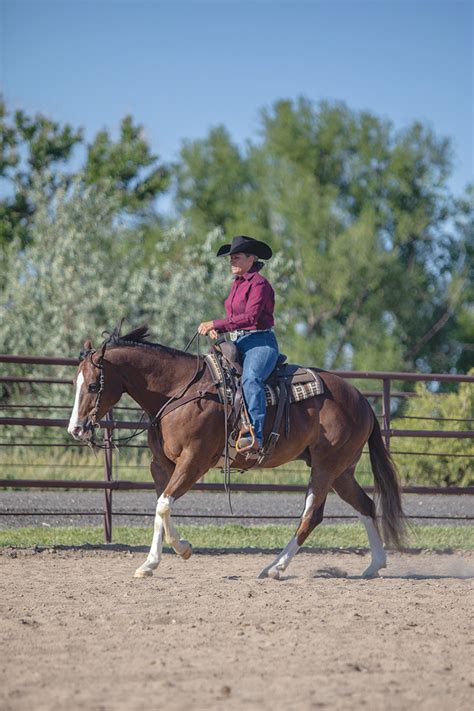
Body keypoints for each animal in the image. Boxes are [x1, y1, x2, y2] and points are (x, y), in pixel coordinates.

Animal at [68, 326, 406, 580]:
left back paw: (275, 568)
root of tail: (362, 400)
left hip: (326, 466)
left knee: (312, 515)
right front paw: (150, 563)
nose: (76, 429)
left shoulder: (194, 461)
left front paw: (183, 549)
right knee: (365, 504)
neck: (179, 391)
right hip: (341, 471)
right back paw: (374, 565)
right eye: (75, 383)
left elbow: (163, 506)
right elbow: (161, 508)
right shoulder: (161, 465)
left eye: (94, 386)